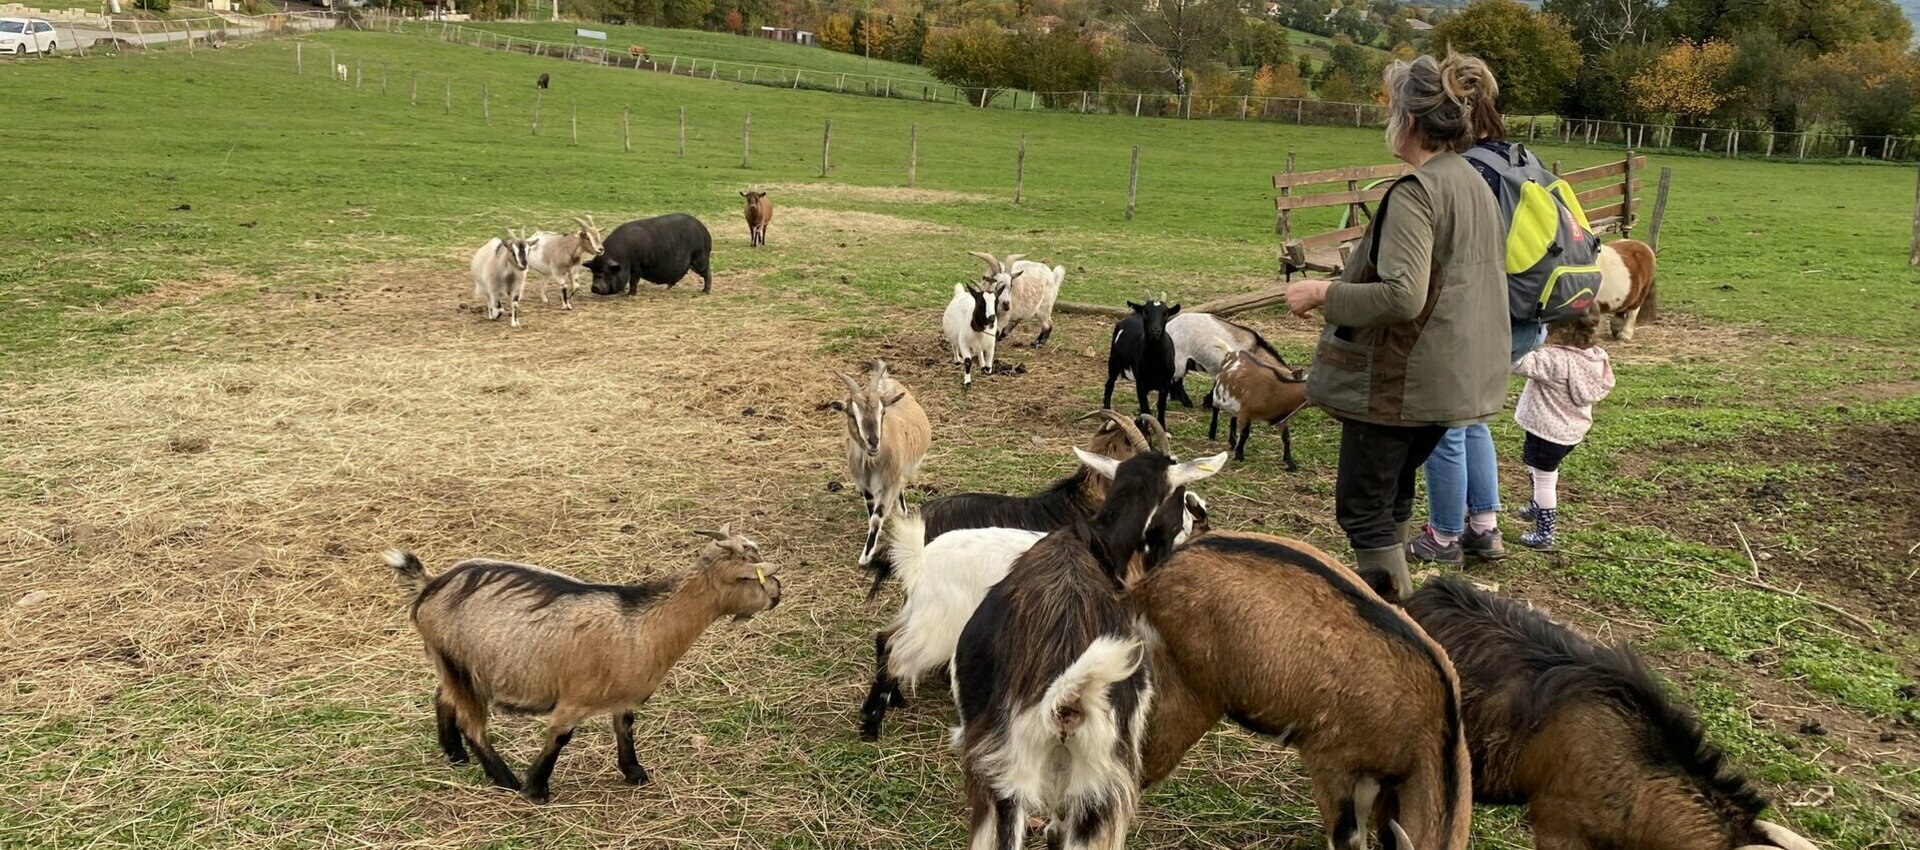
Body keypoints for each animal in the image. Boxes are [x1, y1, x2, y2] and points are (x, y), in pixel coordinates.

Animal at [948, 448, 1221, 850]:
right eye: (1181, 494)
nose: (1198, 520)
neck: (1095, 541)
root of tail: (1067, 696)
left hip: (1035, 782)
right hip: (1067, 785)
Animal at [1105, 299, 1175, 429]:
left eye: (1165, 313)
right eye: (1146, 312)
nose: (1155, 330)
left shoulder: (1166, 384)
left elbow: (1161, 406)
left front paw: (1162, 427)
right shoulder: (1141, 384)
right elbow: (1145, 409)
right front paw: (1145, 429)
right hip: (1114, 361)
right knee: (1109, 384)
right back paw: (1107, 412)